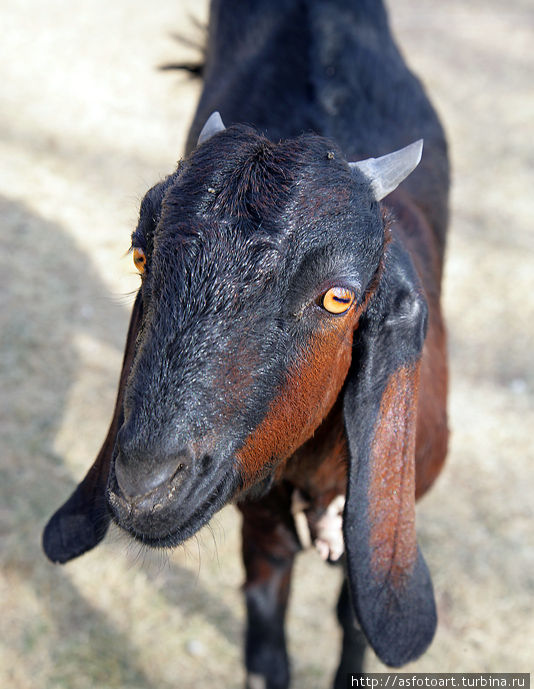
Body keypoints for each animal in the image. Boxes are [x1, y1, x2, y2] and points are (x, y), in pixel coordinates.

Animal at [44, 0, 450, 680]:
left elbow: (355, 627)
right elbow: (264, 643)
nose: (144, 487)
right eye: (139, 256)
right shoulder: (256, 517)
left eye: (338, 297)